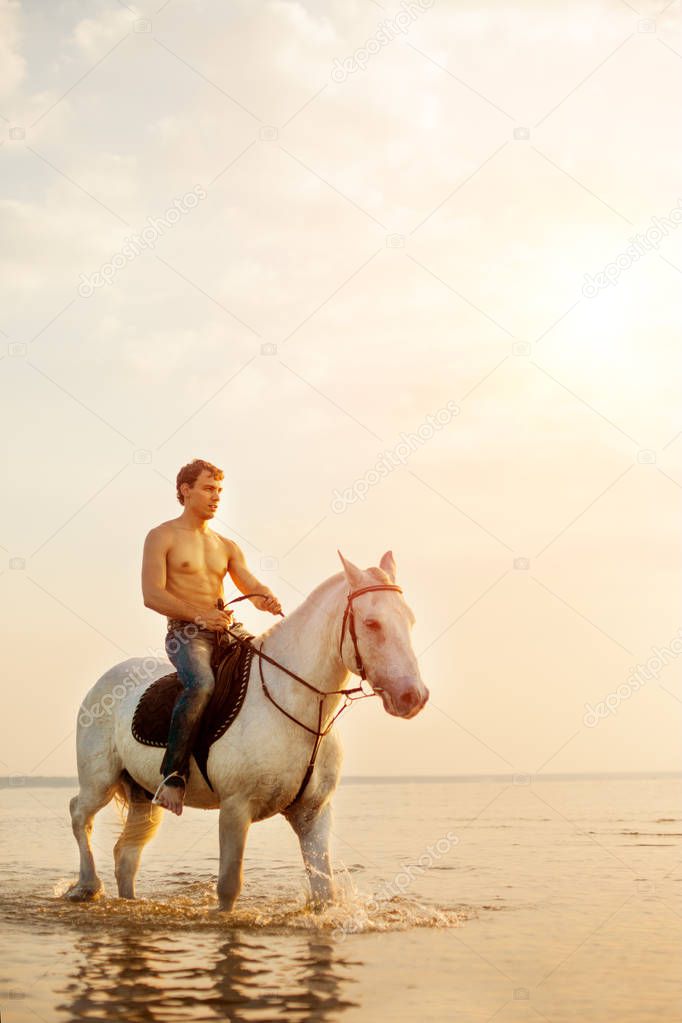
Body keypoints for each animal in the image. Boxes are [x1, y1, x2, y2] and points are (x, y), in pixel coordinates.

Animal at [66, 552, 429, 912]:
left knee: (126, 856)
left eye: (412, 621)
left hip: (143, 795)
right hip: (100, 781)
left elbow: (325, 891)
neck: (293, 700)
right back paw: (87, 886)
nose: (414, 697)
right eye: (372, 623)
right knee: (79, 813)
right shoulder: (235, 809)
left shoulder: (314, 813)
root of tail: (103, 683)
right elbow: (229, 888)